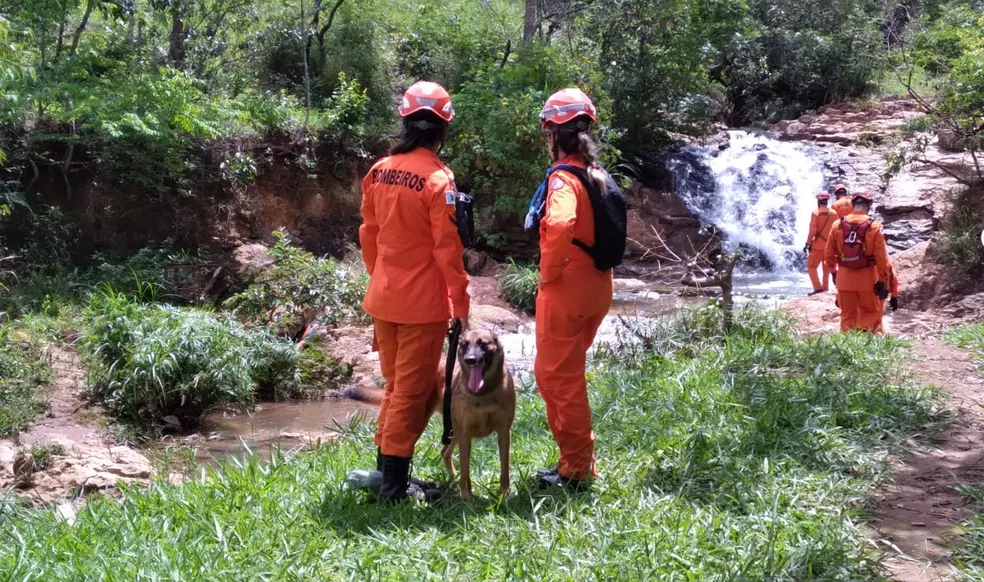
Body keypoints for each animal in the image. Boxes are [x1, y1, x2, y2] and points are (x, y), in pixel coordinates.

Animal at [344, 330, 520, 500]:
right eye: (464, 344)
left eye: (482, 343)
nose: (470, 359)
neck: (483, 393)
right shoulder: (466, 434)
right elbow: (465, 470)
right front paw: (467, 496)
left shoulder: (504, 432)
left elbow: (504, 468)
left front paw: (505, 494)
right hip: (430, 424)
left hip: (453, 431)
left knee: (445, 453)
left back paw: (453, 480)